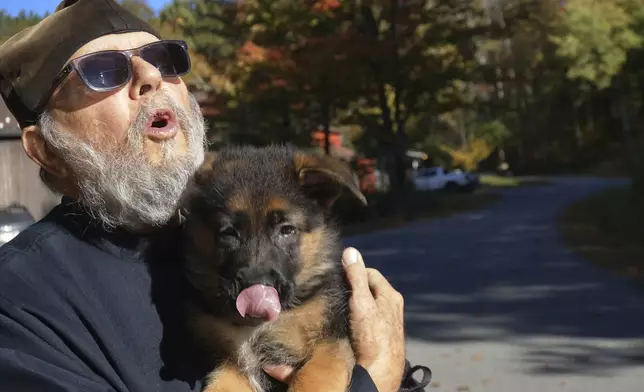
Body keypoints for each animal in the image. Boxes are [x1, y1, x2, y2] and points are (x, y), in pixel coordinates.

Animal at [179, 145, 368, 392]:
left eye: (286, 230)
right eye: (228, 232)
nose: (255, 292)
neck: (258, 327)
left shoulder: (332, 344)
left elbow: (312, 377)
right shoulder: (231, 366)